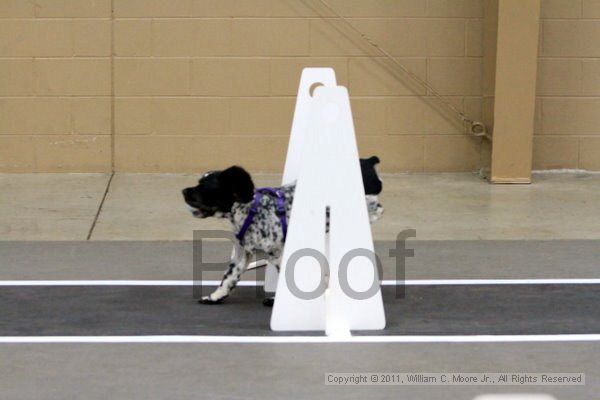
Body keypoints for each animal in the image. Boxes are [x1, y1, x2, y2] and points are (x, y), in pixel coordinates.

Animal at [180, 157, 384, 306]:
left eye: (204, 186)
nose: (183, 191)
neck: (251, 210)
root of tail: (367, 162)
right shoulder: (242, 256)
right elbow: (228, 279)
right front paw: (214, 297)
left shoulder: (278, 255)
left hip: (367, 203)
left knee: (379, 209)